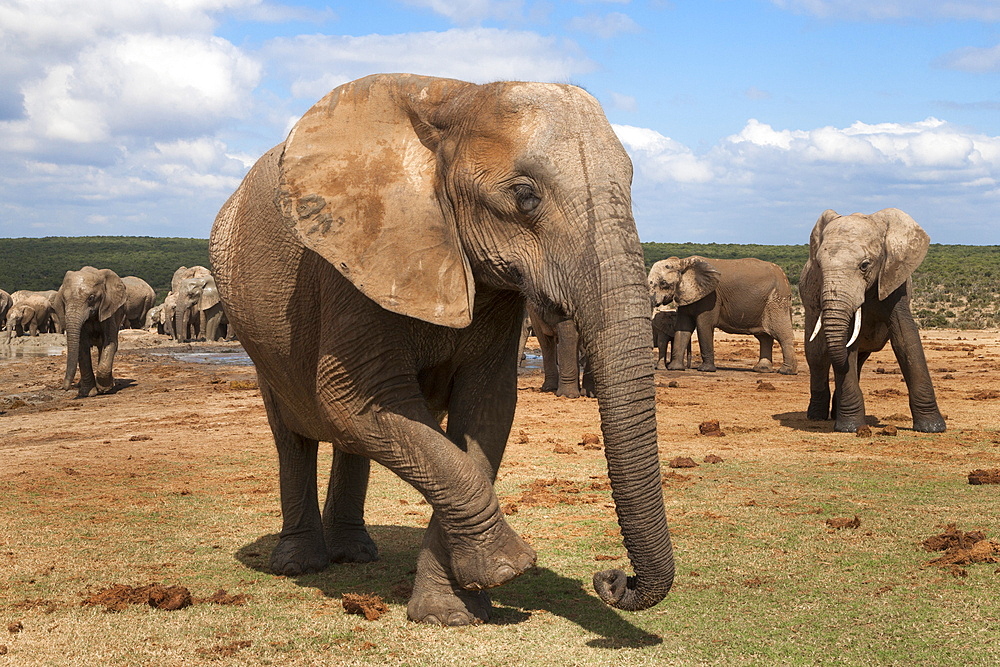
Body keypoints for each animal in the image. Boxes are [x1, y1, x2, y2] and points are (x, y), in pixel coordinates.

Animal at [55, 266, 128, 396]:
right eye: (63, 299)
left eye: (91, 298)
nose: (64, 388)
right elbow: (82, 347)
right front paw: (88, 393)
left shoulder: (109, 311)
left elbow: (110, 342)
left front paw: (104, 389)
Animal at [212, 73, 676, 628]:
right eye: (524, 196)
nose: (612, 579)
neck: (458, 98)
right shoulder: (355, 261)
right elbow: (356, 402)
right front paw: (510, 567)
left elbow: (485, 412)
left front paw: (454, 610)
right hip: (259, 333)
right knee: (294, 433)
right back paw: (300, 565)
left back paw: (355, 554)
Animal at [648, 256, 796, 376]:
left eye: (663, 284)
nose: (688, 367)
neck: (682, 262)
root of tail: (784, 277)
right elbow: (683, 328)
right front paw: (675, 368)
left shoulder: (711, 297)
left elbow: (703, 326)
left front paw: (705, 370)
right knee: (764, 337)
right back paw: (762, 370)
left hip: (777, 300)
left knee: (782, 333)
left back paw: (786, 371)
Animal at [796, 206, 944, 434]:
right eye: (819, 266)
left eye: (865, 265)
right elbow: (846, 345)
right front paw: (849, 427)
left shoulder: (893, 277)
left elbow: (906, 339)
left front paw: (932, 427)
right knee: (817, 356)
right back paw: (817, 416)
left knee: (857, 358)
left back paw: (835, 413)